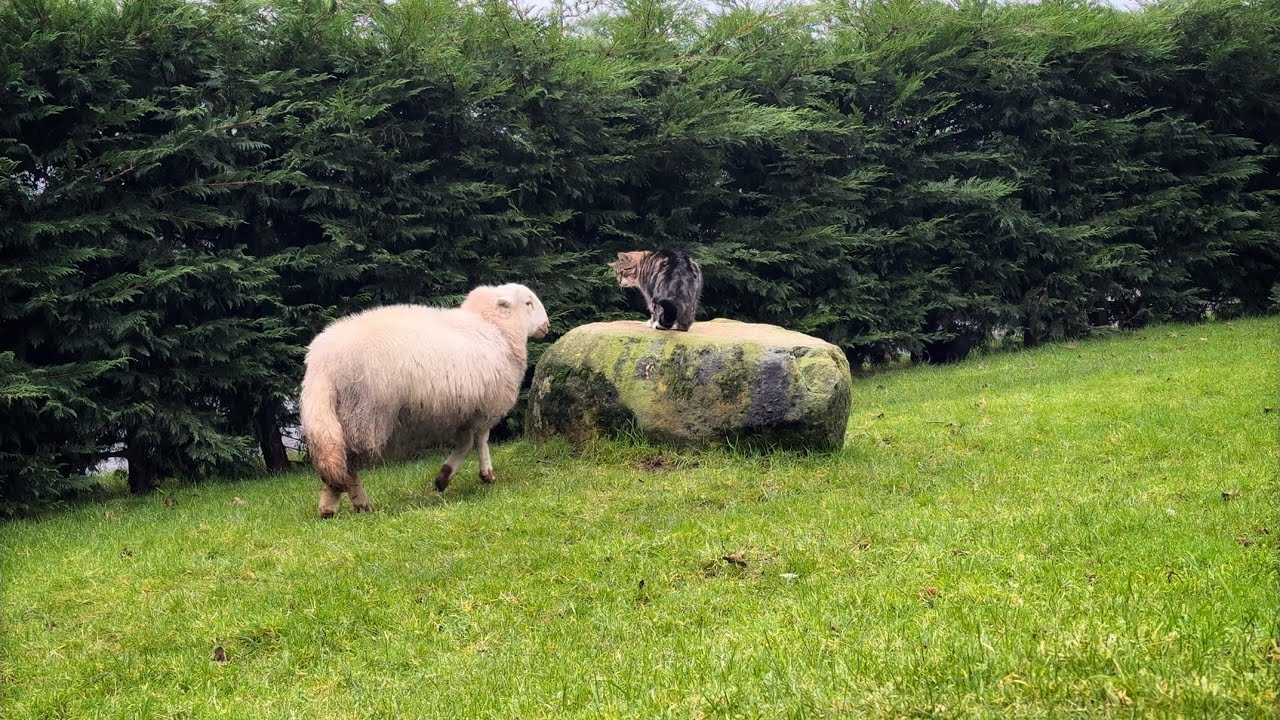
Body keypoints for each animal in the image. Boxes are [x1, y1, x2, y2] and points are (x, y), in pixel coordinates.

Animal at [298, 283, 550, 518]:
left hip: (338, 414)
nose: (547, 326)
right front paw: (485, 474)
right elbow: (479, 441)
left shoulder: (463, 412)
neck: (495, 328)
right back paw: (347, 505)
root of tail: (322, 364)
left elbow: (466, 443)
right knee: (348, 464)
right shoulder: (485, 407)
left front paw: (443, 478)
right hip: (363, 414)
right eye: (528, 303)